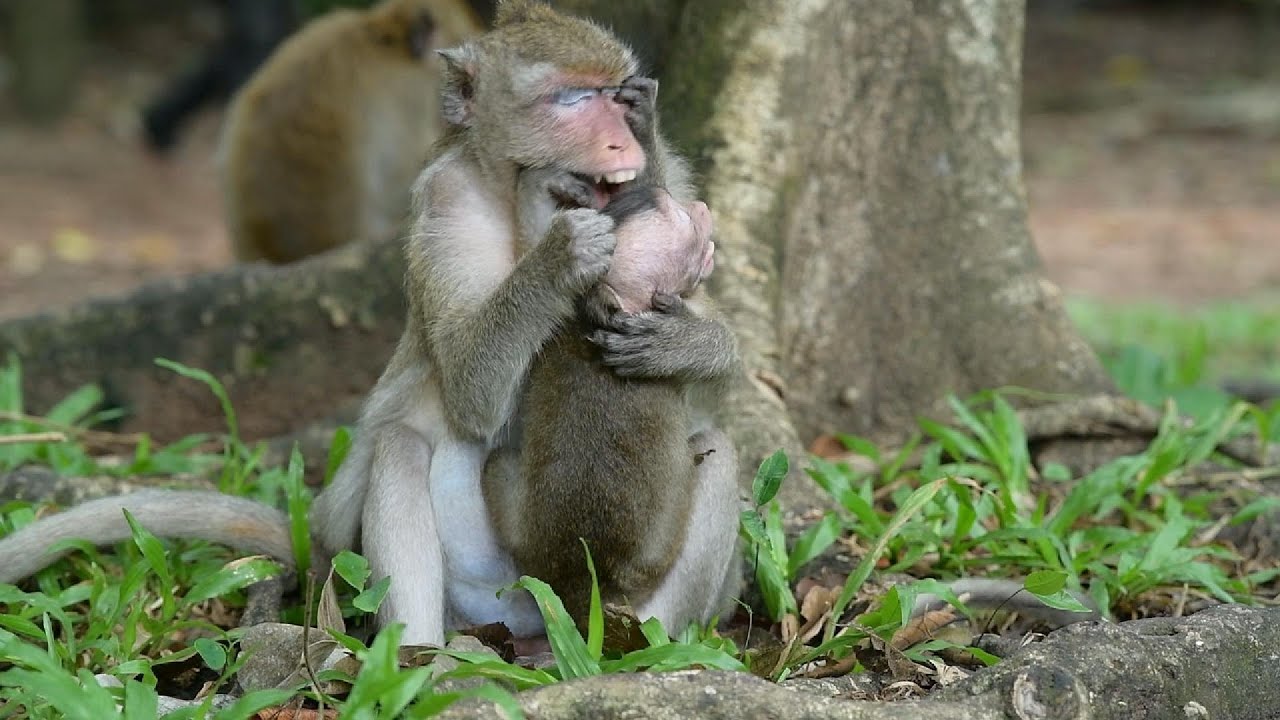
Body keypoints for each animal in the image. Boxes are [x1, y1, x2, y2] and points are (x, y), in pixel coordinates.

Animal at [482, 180, 739, 632]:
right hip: (656, 568)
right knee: (717, 453)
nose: (701, 207)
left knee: (497, 460)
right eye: (686, 220)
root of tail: (589, 584)